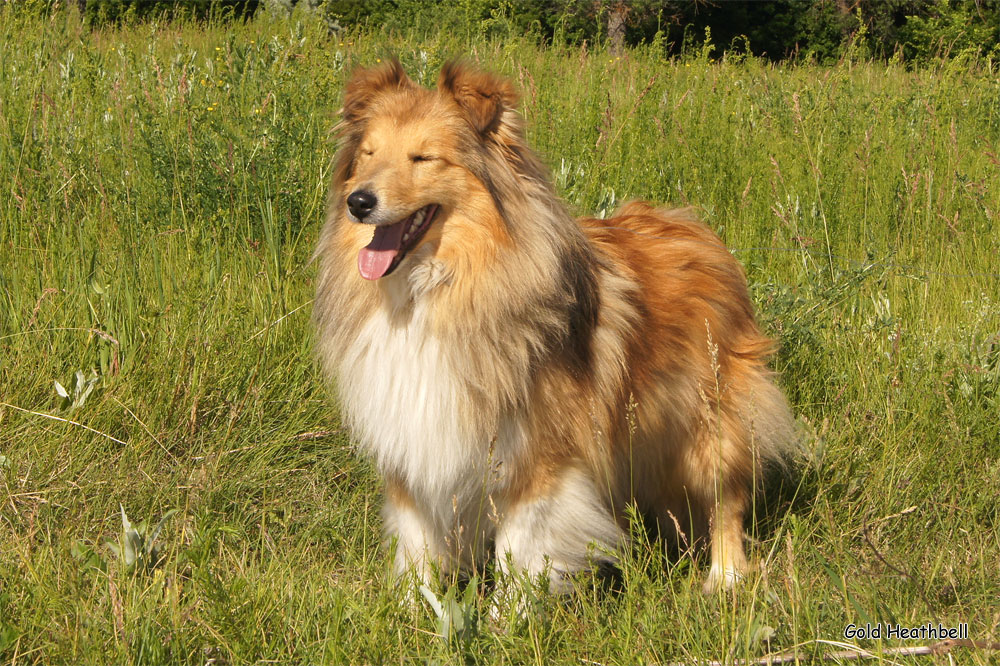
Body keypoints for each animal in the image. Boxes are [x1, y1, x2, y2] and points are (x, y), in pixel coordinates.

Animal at [314, 59, 796, 592]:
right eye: (368, 154)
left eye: (423, 157)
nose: (359, 202)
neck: (433, 293)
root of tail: (693, 226)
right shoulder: (414, 445)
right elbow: (417, 551)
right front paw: (413, 607)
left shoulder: (538, 464)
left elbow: (520, 559)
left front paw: (508, 613)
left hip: (708, 422)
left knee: (726, 498)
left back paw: (725, 578)